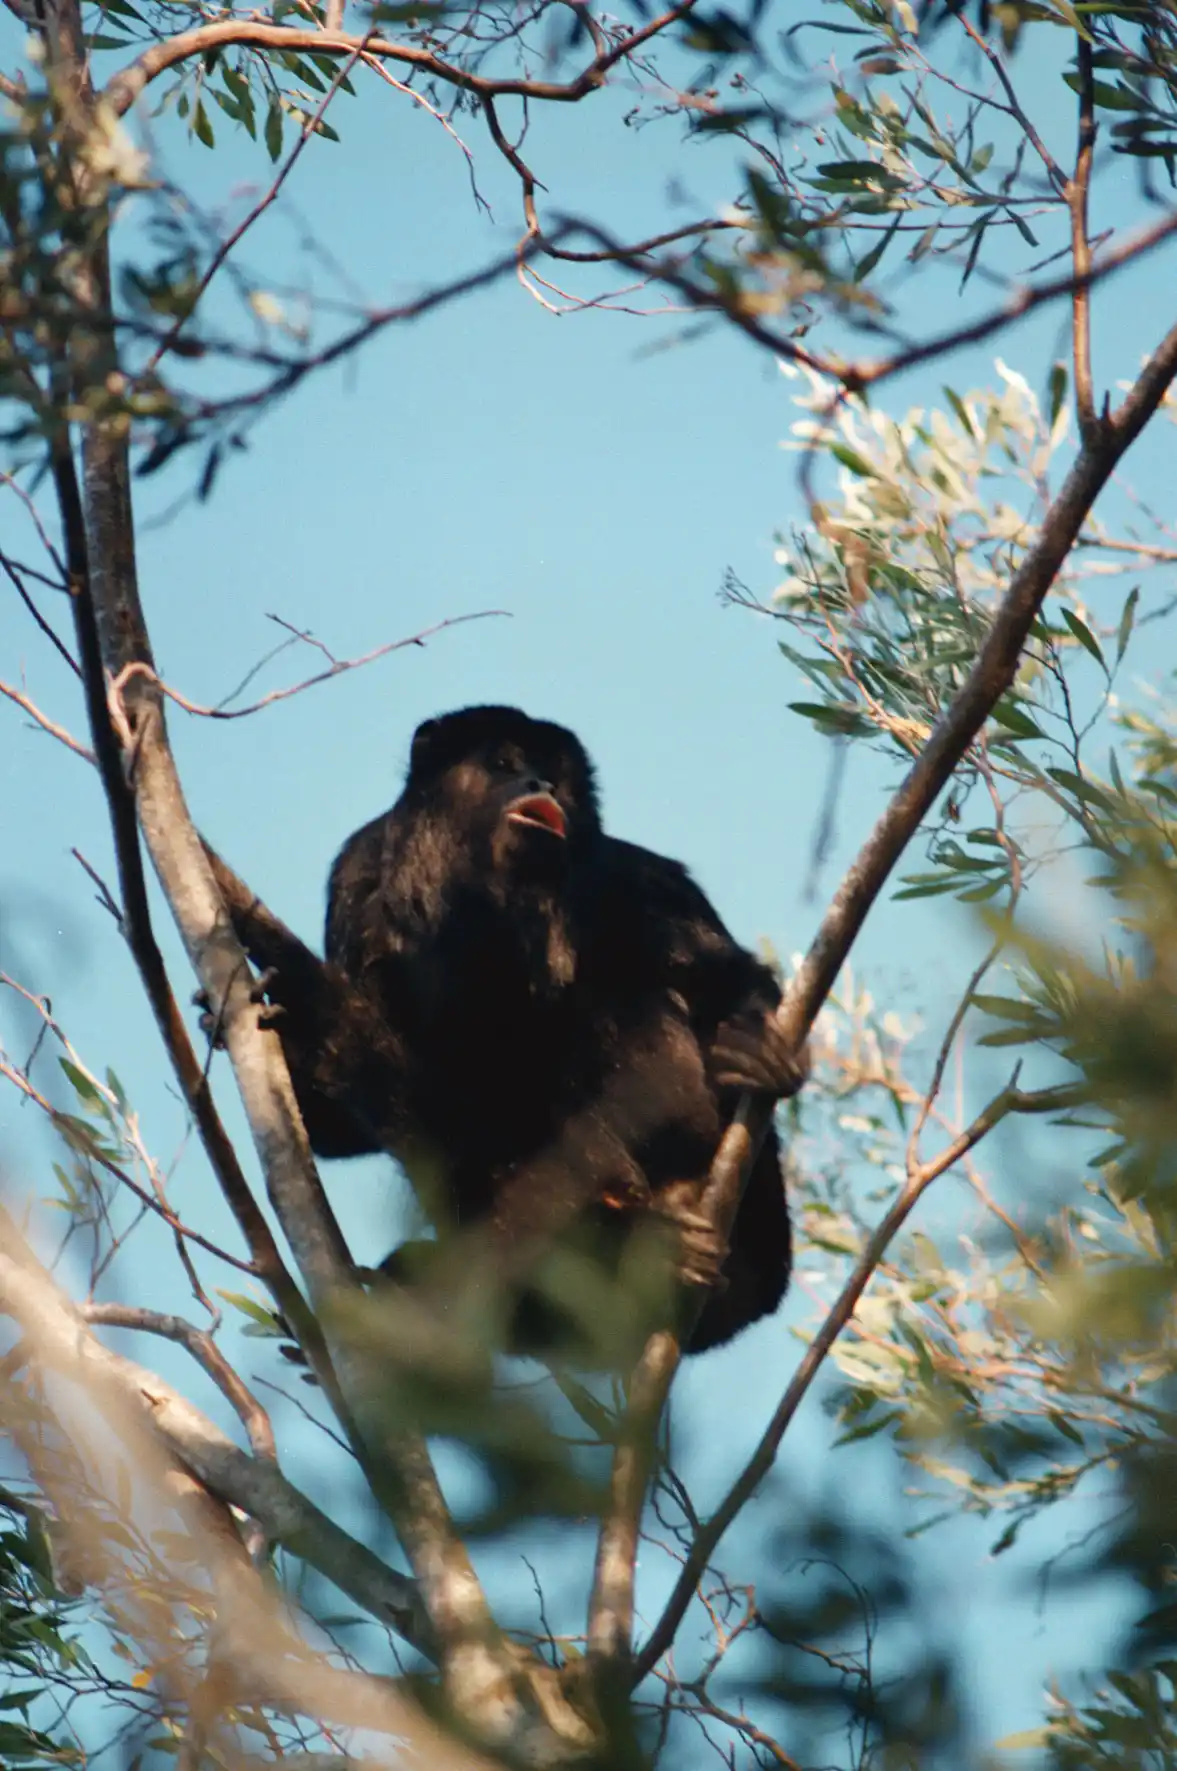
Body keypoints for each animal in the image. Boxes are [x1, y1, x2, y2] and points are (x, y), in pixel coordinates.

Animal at [205, 706, 806, 1361]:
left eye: (556, 774)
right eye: (503, 762)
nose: (540, 785)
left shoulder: (628, 875)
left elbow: (717, 969)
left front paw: (752, 1042)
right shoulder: (358, 875)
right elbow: (349, 1103)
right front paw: (279, 1026)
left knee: (624, 1001)